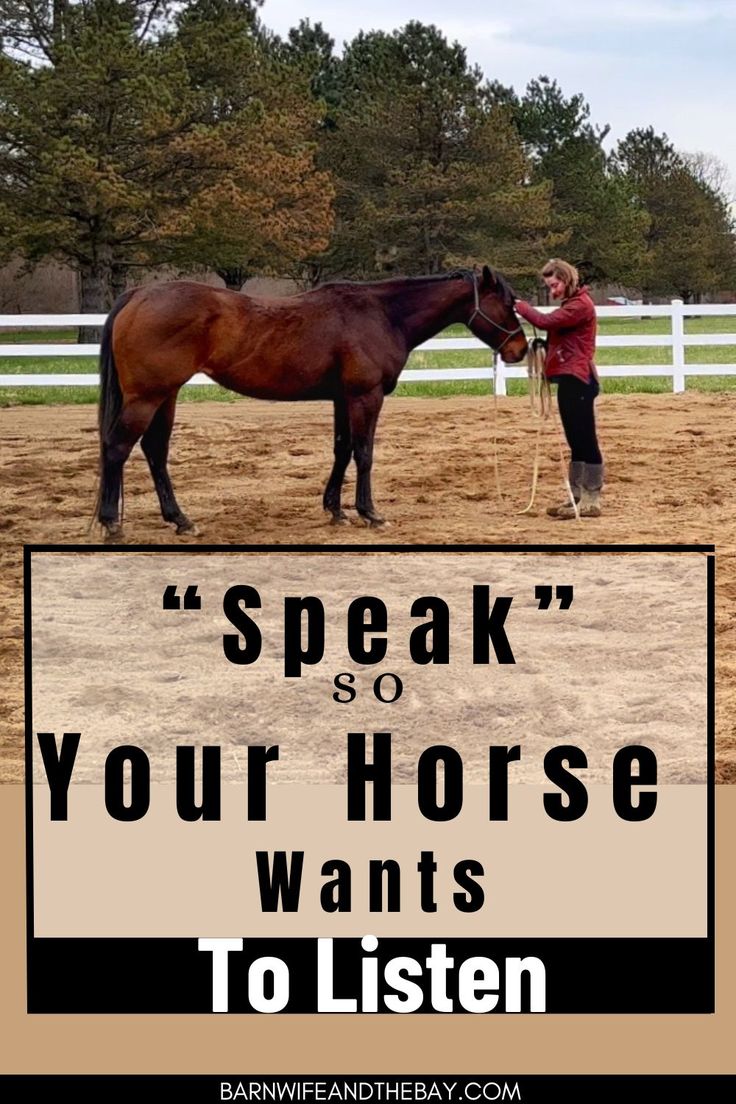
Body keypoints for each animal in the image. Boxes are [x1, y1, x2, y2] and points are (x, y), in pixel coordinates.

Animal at [94, 261, 527, 534]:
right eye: (508, 303)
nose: (520, 350)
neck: (382, 314)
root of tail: (139, 295)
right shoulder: (365, 396)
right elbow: (364, 453)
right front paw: (370, 513)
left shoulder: (342, 398)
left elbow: (342, 450)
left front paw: (335, 510)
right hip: (147, 398)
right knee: (117, 448)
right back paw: (111, 522)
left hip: (164, 397)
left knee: (154, 452)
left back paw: (179, 520)